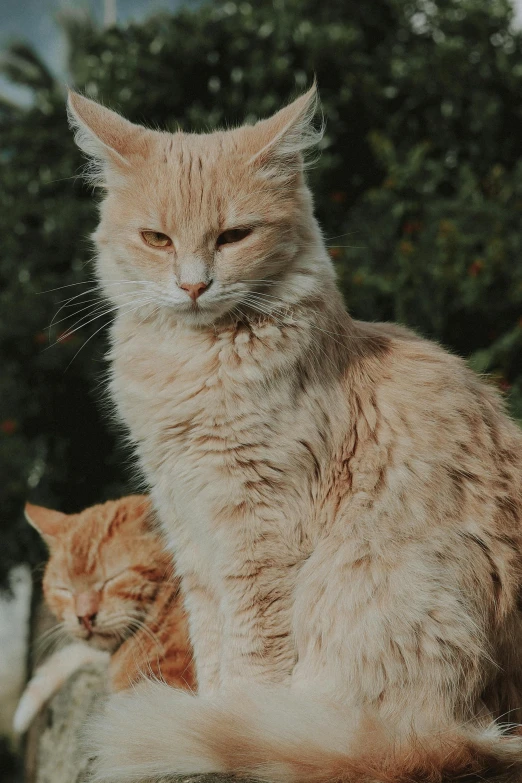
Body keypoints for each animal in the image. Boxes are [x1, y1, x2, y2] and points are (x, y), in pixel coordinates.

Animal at [65, 87, 520, 783]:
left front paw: (227, 726)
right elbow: (212, 644)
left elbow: (252, 657)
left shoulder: (260, 530)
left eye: (233, 236)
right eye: (156, 239)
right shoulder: (189, 527)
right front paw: (211, 715)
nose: (193, 285)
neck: (194, 362)